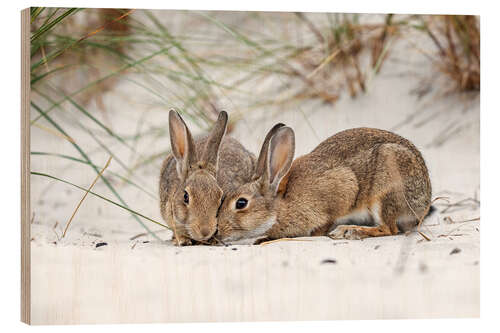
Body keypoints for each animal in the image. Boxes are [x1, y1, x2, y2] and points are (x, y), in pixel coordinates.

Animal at [217, 126, 432, 243]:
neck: (280, 206)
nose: (218, 231)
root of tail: (424, 200)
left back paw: (349, 231)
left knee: (389, 228)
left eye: (241, 203)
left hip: (385, 192)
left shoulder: (341, 190)